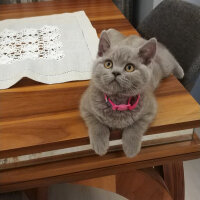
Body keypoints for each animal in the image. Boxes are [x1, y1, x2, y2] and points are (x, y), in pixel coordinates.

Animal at [80, 29, 184, 158]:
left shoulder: (150, 109)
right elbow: (96, 122)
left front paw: (131, 148)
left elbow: (136, 126)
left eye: (129, 67)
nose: (116, 72)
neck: (118, 101)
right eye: (108, 64)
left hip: (165, 66)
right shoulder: (85, 105)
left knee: (168, 55)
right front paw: (100, 144)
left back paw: (180, 72)